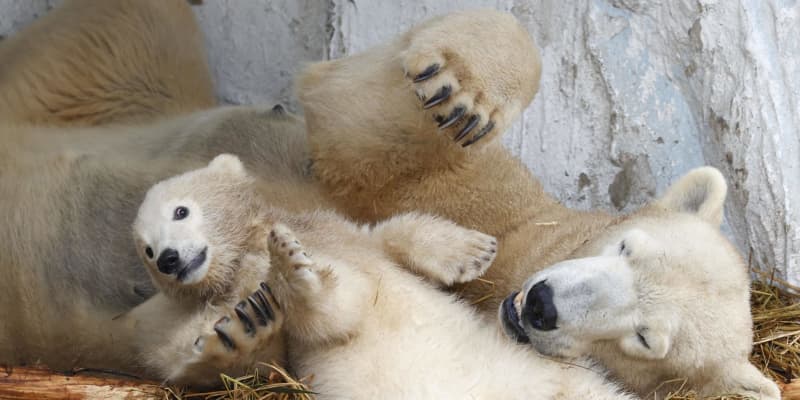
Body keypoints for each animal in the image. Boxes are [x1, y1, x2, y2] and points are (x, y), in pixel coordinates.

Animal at [0, 0, 776, 396]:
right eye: (624, 244)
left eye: (645, 341)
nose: (543, 305)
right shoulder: (479, 201)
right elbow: (358, 116)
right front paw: (462, 89)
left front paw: (239, 327)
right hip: (108, 83)